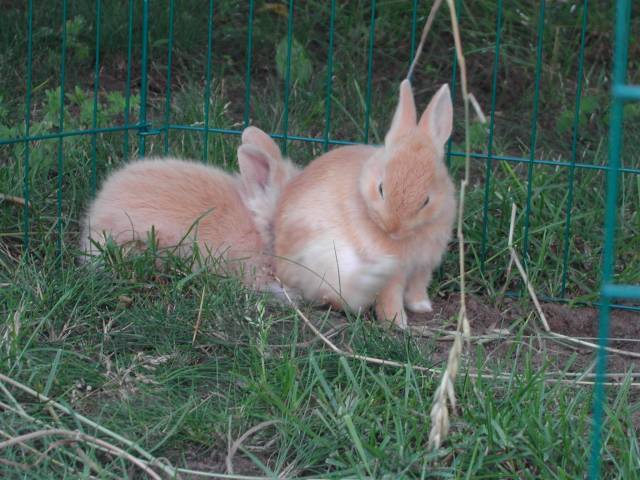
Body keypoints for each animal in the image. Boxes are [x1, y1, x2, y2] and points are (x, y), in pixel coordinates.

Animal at [272, 81, 458, 330]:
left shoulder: (423, 266)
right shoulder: (392, 274)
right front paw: (397, 323)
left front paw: (422, 306)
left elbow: (418, 286)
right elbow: (391, 296)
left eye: (426, 201)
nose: (393, 229)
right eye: (380, 189)